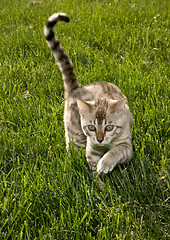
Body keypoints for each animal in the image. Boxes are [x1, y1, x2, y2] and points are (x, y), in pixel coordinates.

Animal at [43, 13, 133, 173]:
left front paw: (105, 163)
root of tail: (75, 89)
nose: (100, 139)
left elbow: (116, 151)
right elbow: (92, 165)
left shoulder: (127, 146)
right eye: (92, 127)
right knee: (72, 148)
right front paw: (97, 178)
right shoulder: (91, 147)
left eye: (109, 127)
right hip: (75, 133)